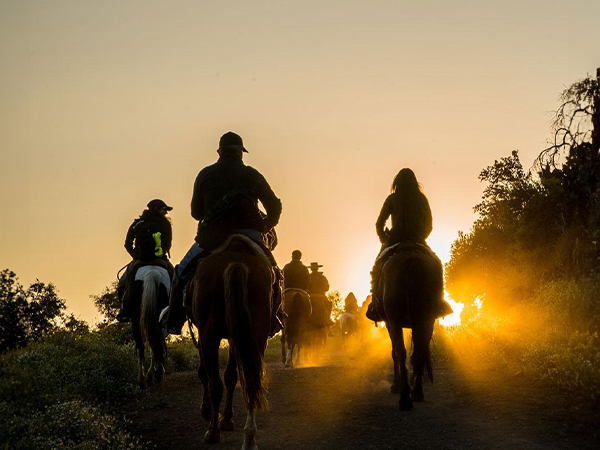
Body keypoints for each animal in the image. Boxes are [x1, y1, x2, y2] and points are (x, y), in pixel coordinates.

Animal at [188, 236, 272, 450]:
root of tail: (236, 263)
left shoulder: (205, 334)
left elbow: (207, 373)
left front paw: (209, 412)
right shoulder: (238, 336)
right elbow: (232, 376)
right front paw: (227, 419)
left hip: (209, 334)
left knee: (215, 385)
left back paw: (212, 431)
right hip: (256, 335)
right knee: (252, 380)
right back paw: (249, 437)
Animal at [382, 250, 442, 412]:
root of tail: (413, 259)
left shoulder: (390, 323)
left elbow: (394, 353)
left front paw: (396, 385)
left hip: (395, 320)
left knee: (401, 353)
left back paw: (405, 398)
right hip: (427, 319)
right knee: (419, 351)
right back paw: (417, 392)